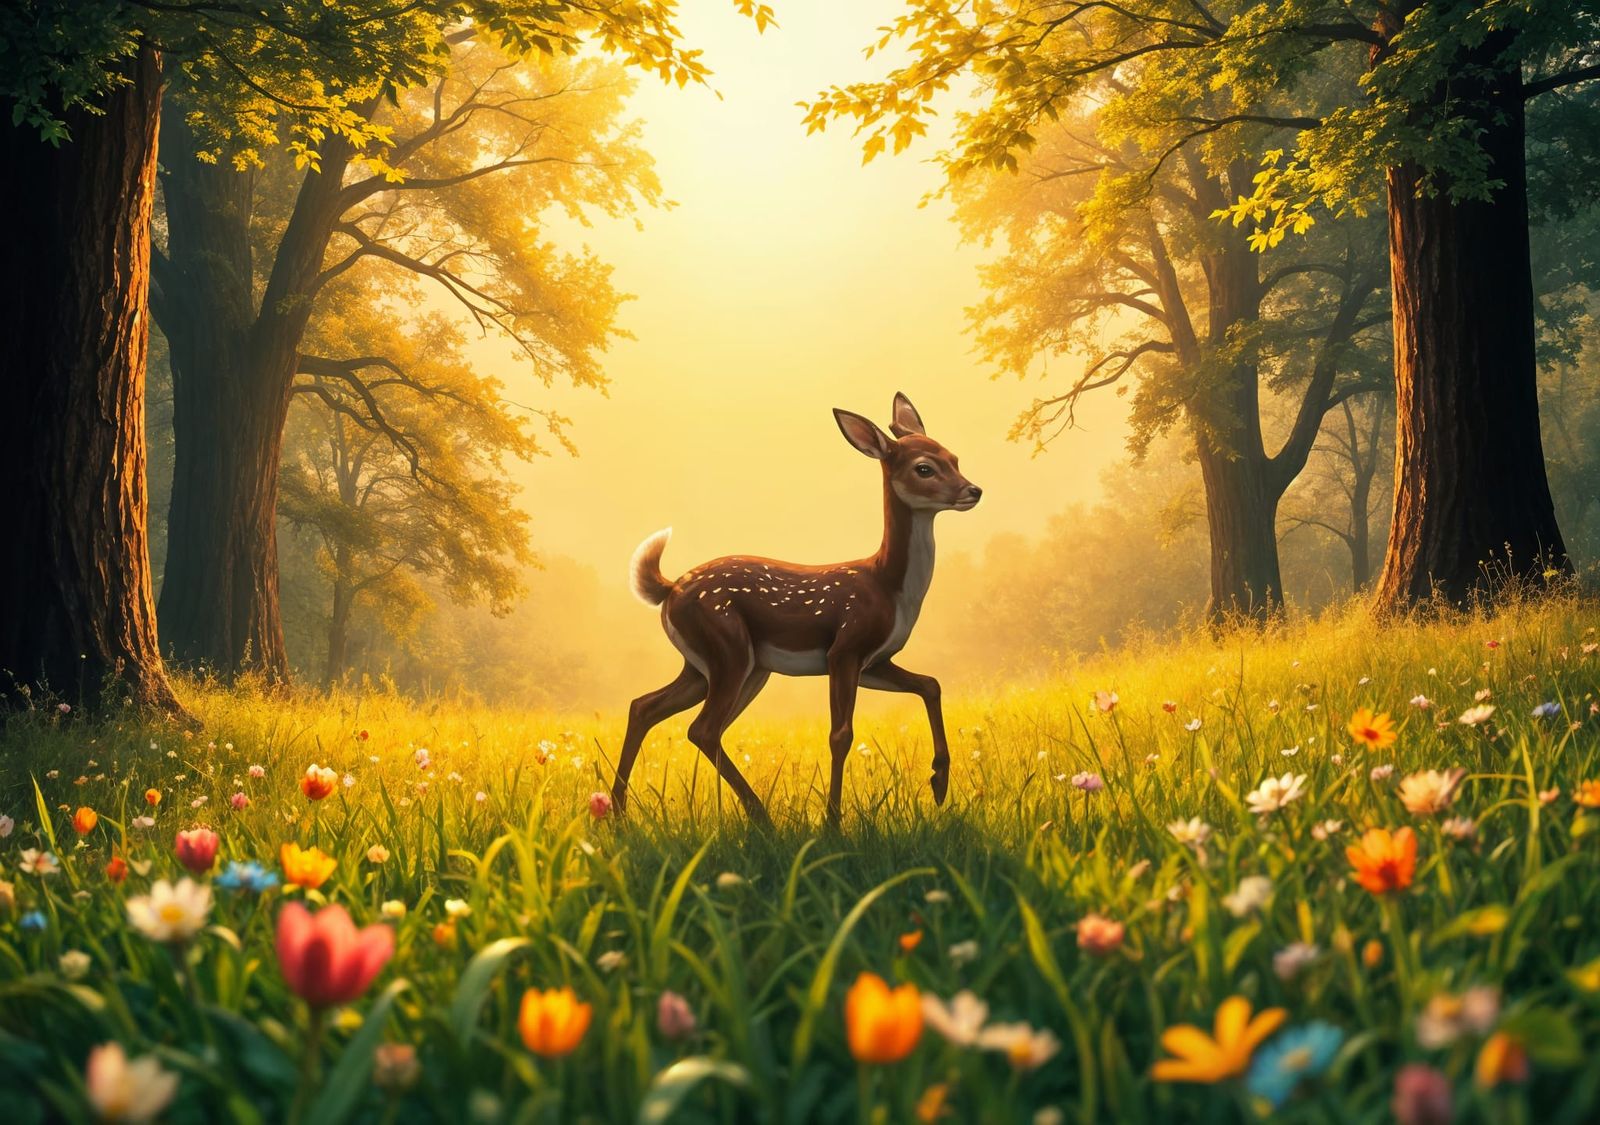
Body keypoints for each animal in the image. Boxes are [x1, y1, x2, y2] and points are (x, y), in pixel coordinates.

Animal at [613, 392, 982, 826]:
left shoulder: (874, 660)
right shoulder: (846, 647)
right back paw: (762, 817)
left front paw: (938, 782)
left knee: (647, 707)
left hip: (721, 665)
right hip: (727, 647)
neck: (888, 586)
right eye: (925, 468)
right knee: (701, 728)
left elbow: (930, 684)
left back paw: (618, 812)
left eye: (954, 457)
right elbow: (841, 735)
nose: (973, 490)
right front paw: (833, 822)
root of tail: (669, 589)